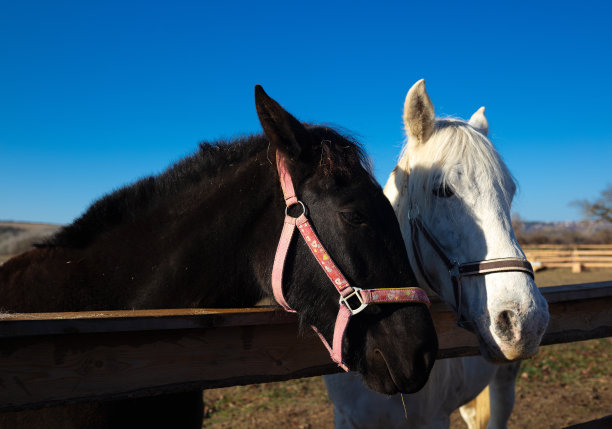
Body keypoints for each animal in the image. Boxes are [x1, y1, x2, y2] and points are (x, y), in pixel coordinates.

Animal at [326, 80, 548, 428]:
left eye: (509, 192)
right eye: (442, 190)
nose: (525, 319)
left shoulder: (434, 418)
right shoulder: (347, 418)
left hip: (504, 382)